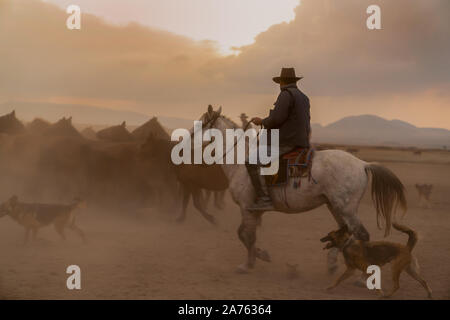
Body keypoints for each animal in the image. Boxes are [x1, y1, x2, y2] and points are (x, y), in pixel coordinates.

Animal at [200, 107, 408, 272]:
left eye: (201, 124)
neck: (238, 161)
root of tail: (363, 164)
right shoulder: (254, 211)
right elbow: (244, 235)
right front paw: (261, 255)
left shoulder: (246, 208)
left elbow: (246, 236)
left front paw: (247, 265)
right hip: (335, 206)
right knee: (345, 233)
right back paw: (332, 264)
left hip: (345, 209)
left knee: (360, 234)